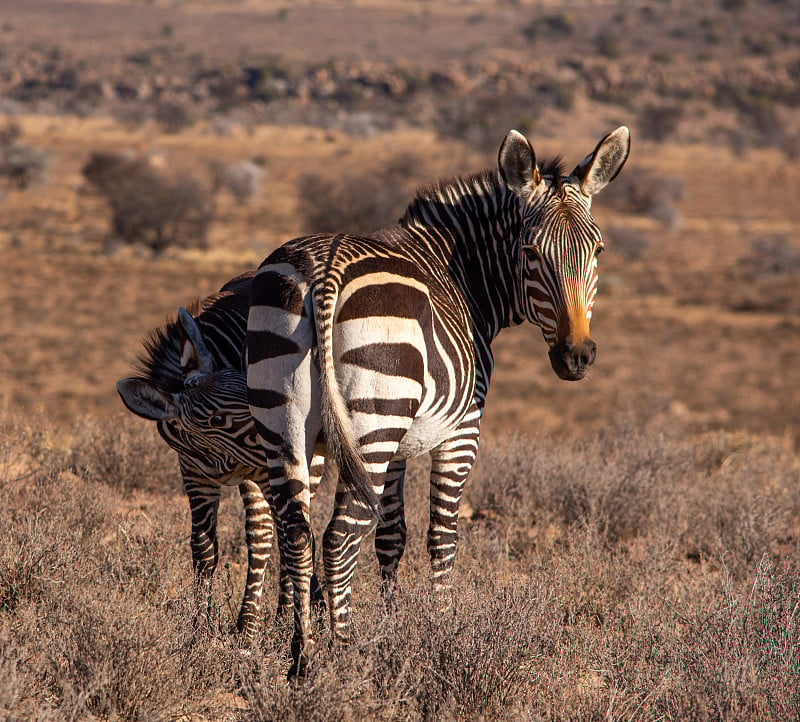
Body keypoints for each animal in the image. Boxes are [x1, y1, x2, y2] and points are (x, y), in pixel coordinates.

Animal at [247, 125, 628, 676]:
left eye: (597, 251)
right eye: (531, 252)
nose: (576, 356)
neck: (464, 274)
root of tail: (324, 269)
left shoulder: (398, 447)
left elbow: (391, 537)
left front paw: (390, 626)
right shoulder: (461, 431)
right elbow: (442, 536)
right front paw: (443, 630)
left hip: (289, 425)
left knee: (296, 532)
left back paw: (302, 654)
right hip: (373, 423)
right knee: (338, 537)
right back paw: (344, 653)